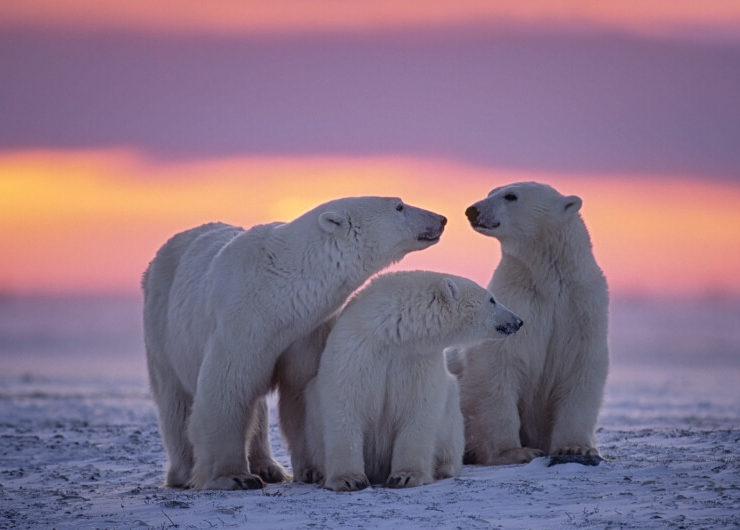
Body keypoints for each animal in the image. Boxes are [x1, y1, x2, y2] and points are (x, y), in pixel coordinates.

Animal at [143, 196, 446, 488]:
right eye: (399, 206)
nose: (441, 218)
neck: (279, 291)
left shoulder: (306, 332)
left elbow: (301, 391)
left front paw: (313, 470)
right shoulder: (240, 321)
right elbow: (227, 388)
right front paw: (234, 477)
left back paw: (269, 467)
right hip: (162, 327)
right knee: (175, 401)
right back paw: (184, 473)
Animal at [292, 270, 524, 488]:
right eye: (492, 299)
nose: (519, 321)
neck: (392, 335)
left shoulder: (417, 360)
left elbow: (418, 410)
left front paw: (405, 476)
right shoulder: (356, 350)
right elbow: (345, 405)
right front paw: (349, 480)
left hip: (451, 414)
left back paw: (444, 468)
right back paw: (315, 472)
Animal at [454, 180, 608, 462]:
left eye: (510, 196)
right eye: (490, 191)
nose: (472, 210)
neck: (547, 280)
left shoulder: (581, 308)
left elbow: (581, 366)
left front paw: (575, 447)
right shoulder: (517, 302)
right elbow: (498, 364)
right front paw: (515, 451)